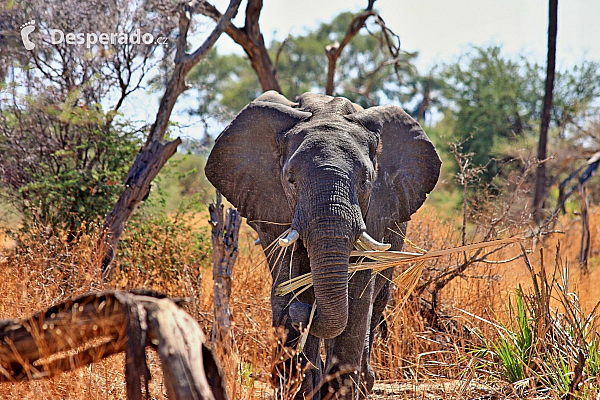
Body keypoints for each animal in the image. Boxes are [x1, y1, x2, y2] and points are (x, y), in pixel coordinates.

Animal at [205, 91, 440, 400]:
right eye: (291, 180)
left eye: (365, 180)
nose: (303, 313)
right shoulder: (273, 207)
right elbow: (288, 278)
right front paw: (300, 387)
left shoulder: (377, 211)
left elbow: (357, 296)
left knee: (377, 303)